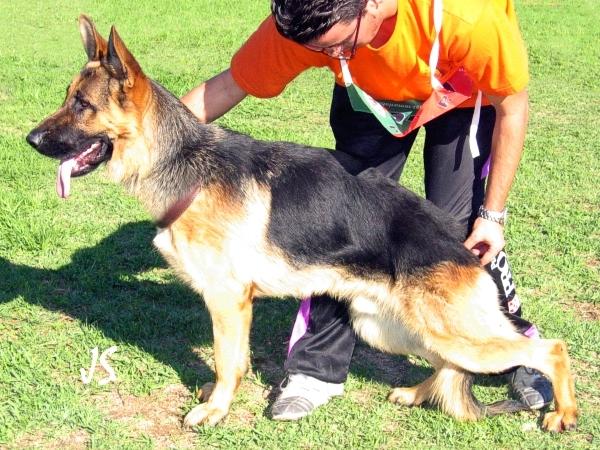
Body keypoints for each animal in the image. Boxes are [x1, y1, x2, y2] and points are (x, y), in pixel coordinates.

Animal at [24, 16, 576, 432]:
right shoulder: (234, 305)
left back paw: (562, 413)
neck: (181, 160)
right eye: (67, 97)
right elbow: (234, 361)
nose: (30, 140)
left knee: (548, 347)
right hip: (386, 326)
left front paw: (214, 411)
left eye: (82, 105)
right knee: (447, 366)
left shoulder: (227, 300)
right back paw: (415, 395)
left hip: (452, 332)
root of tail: (458, 243)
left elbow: (227, 361)